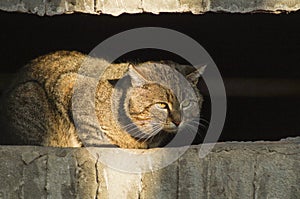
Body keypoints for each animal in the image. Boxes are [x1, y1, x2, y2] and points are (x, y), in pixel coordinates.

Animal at [0, 50, 205, 148]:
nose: (178, 121)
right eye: (162, 105)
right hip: (31, 91)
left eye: (187, 104)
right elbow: (91, 131)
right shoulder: (69, 83)